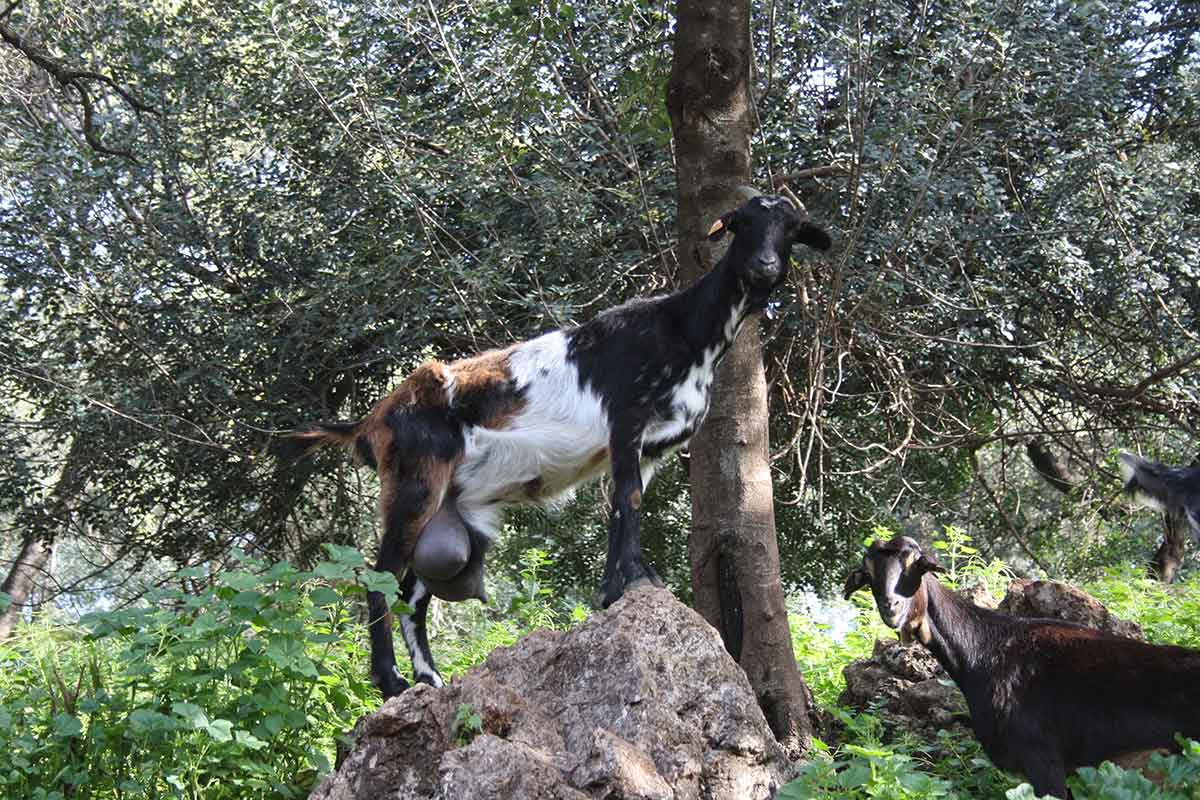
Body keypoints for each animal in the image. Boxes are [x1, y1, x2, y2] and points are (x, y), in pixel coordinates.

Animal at [291, 190, 835, 695]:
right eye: (741, 224)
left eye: (790, 229)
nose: (764, 267)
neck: (682, 331)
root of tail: (373, 418)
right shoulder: (626, 421)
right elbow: (628, 501)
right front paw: (634, 583)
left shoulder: (648, 449)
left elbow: (623, 506)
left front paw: (618, 590)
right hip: (414, 483)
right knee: (379, 577)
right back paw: (391, 682)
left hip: (449, 509)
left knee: (413, 593)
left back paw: (430, 678)